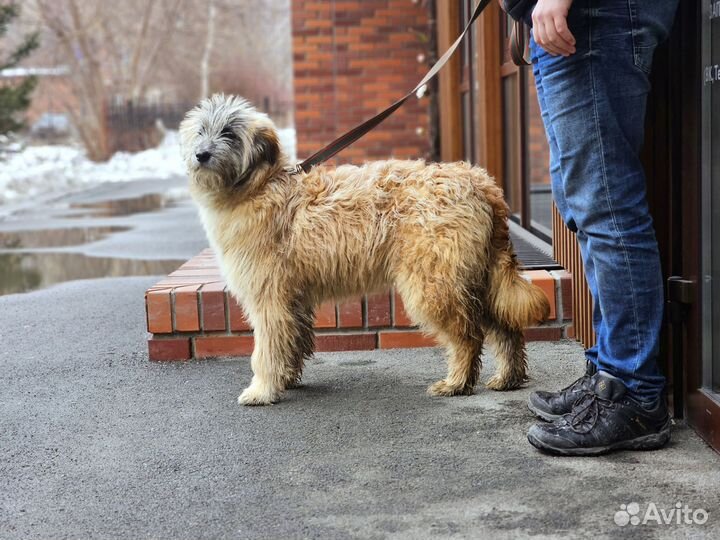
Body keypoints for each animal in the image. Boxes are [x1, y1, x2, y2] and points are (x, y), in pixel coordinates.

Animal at [180, 95, 552, 404]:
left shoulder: (269, 298)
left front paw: (262, 390)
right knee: (506, 328)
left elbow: (267, 349)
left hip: (434, 283)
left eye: (229, 133)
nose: (201, 155)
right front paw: (286, 379)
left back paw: (456, 383)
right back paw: (508, 377)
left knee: (467, 336)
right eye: (200, 131)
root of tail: (479, 182)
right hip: (476, 276)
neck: (261, 185)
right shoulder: (292, 300)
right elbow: (293, 342)